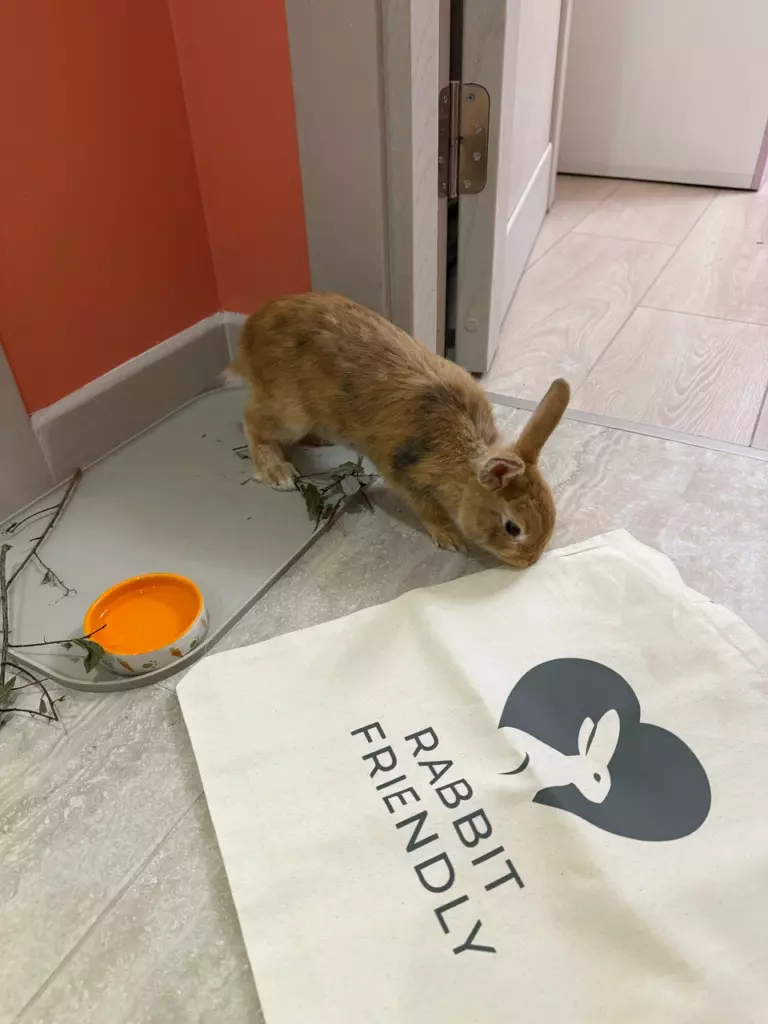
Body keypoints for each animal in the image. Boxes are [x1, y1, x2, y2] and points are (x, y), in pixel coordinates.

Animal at [229, 292, 570, 568]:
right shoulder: (405, 476)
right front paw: (450, 538)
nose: (528, 562)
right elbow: (426, 509)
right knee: (252, 421)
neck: (463, 465)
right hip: (290, 414)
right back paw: (278, 472)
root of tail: (249, 333)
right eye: (513, 528)